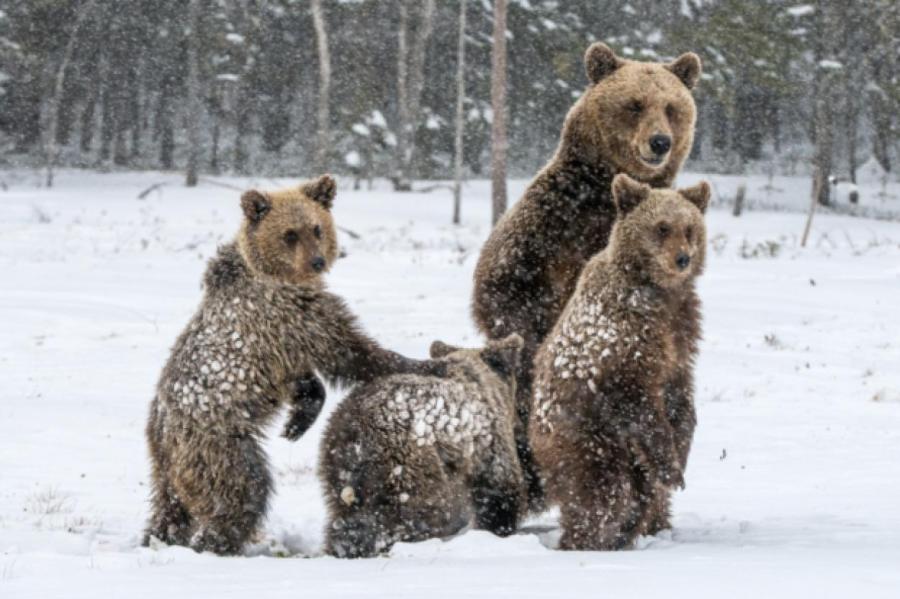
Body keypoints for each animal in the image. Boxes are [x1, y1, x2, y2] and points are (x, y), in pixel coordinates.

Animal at [142, 176, 446, 556]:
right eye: (289, 233)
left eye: (316, 227)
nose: (317, 261)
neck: (277, 274)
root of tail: (161, 433)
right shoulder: (290, 313)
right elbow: (351, 351)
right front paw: (429, 363)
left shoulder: (284, 341)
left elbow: (306, 377)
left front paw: (297, 420)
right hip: (217, 441)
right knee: (242, 489)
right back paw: (216, 541)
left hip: (168, 466)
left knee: (169, 507)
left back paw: (158, 537)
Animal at [318, 336, 524, 556]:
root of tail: (357, 433)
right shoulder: (489, 446)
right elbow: (498, 493)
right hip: (407, 464)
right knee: (412, 515)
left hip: (335, 466)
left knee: (345, 519)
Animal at [472, 42, 704, 510]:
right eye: (635, 104)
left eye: (672, 107)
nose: (659, 142)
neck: (600, 191)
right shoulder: (547, 230)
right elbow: (505, 290)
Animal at [528, 171, 712, 552]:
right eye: (661, 227)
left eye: (689, 228)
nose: (682, 259)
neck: (658, 293)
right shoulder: (622, 347)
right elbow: (639, 401)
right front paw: (672, 466)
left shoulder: (682, 334)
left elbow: (680, 392)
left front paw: (682, 452)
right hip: (587, 440)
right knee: (605, 495)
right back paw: (588, 539)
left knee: (645, 496)